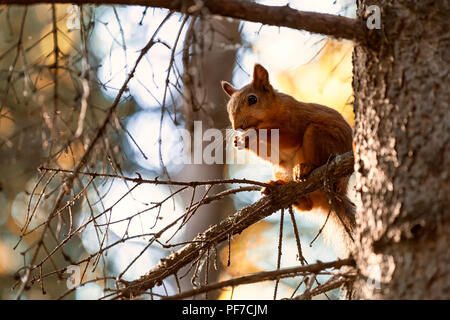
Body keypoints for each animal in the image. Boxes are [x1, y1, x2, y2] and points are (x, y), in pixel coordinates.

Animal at [221, 63, 356, 250]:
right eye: (228, 107)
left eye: (252, 99)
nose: (237, 127)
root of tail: (338, 192)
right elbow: (273, 155)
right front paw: (240, 141)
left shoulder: (294, 119)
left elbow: (289, 136)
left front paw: (253, 135)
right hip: (280, 170)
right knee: (308, 206)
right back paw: (281, 190)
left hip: (318, 135)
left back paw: (305, 168)